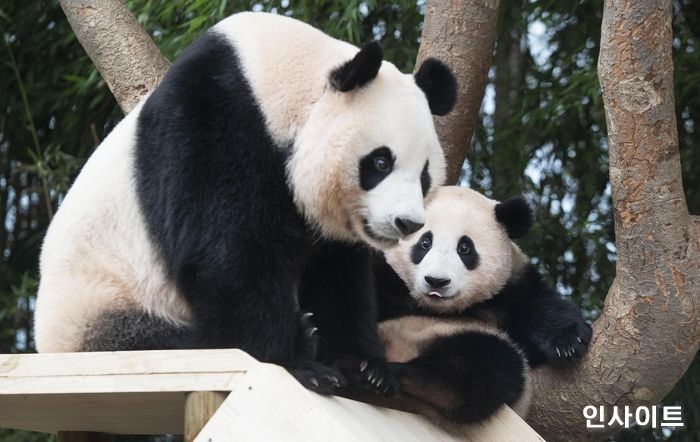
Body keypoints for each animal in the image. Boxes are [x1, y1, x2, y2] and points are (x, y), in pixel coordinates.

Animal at [35, 12, 456, 394]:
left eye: (424, 175)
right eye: (381, 162)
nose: (406, 222)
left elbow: (336, 275)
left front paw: (366, 367)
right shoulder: (215, 121)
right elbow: (230, 256)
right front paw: (297, 363)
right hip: (108, 308)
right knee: (174, 344)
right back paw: (304, 337)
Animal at [366, 185, 592, 424]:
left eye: (465, 248)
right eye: (425, 243)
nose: (436, 281)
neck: (437, 308)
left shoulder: (512, 289)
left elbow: (540, 307)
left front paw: (569, 343)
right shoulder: (387, 276)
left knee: (483, 364)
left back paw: (399, 377)